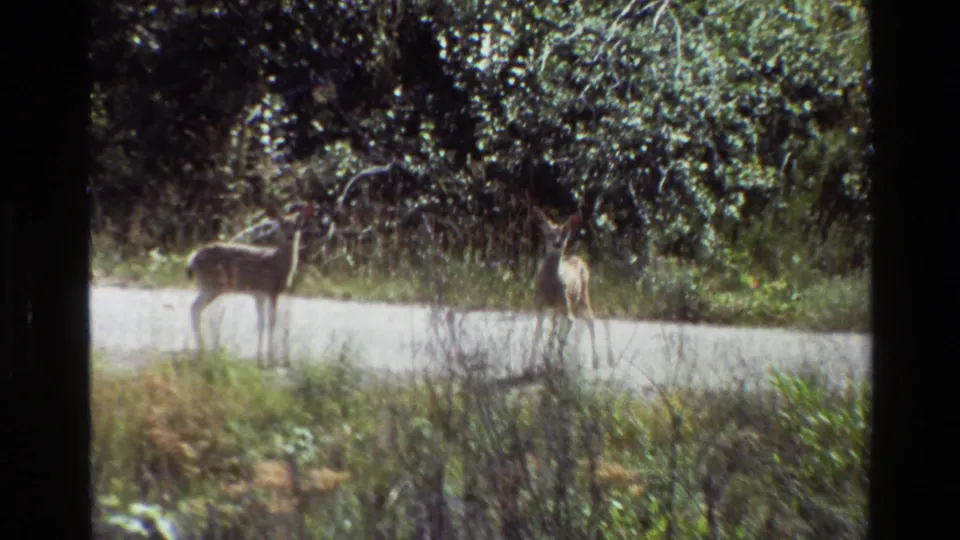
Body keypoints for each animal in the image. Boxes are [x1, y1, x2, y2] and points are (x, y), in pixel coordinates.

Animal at [185, 201, 314, 368]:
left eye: (299, 225)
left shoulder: (261, 294)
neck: (277, 264)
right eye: (282, 224)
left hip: (208, 286)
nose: (290, 236)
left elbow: (262, 322)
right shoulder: (268, 291)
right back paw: (201, 349)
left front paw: (261, 357)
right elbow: (270, 323)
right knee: (195, 308)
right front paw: (270, 358)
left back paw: (203, 349)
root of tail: (192, 259)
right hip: (212, 285)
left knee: (195, 308)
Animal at [530, 206, 599, 372]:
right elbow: (538, 334)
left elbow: (562, 337)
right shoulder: (540, 305)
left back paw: (595, 361)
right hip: (558, 309)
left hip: (582, 296)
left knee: (590, 320)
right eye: (549, 234)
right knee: (554, 329)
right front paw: (531, 365)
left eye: (564, 234)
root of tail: (577, 258)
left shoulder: (566, 309)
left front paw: (558, 365)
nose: (557, 243)